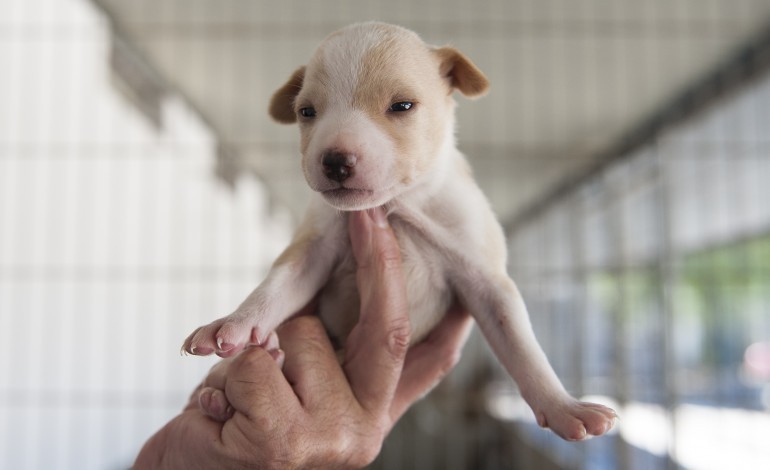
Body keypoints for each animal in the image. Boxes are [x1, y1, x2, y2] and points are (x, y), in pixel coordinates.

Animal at [183, 21, 616, 440]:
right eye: (306, 111)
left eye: (402, 105)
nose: (335, 160)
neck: (395, 208)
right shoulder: (314, 249)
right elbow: (275, 287)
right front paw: (235, 322)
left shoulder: (487, 279)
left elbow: (522, 347)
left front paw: (564, 407)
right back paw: (236, 381)